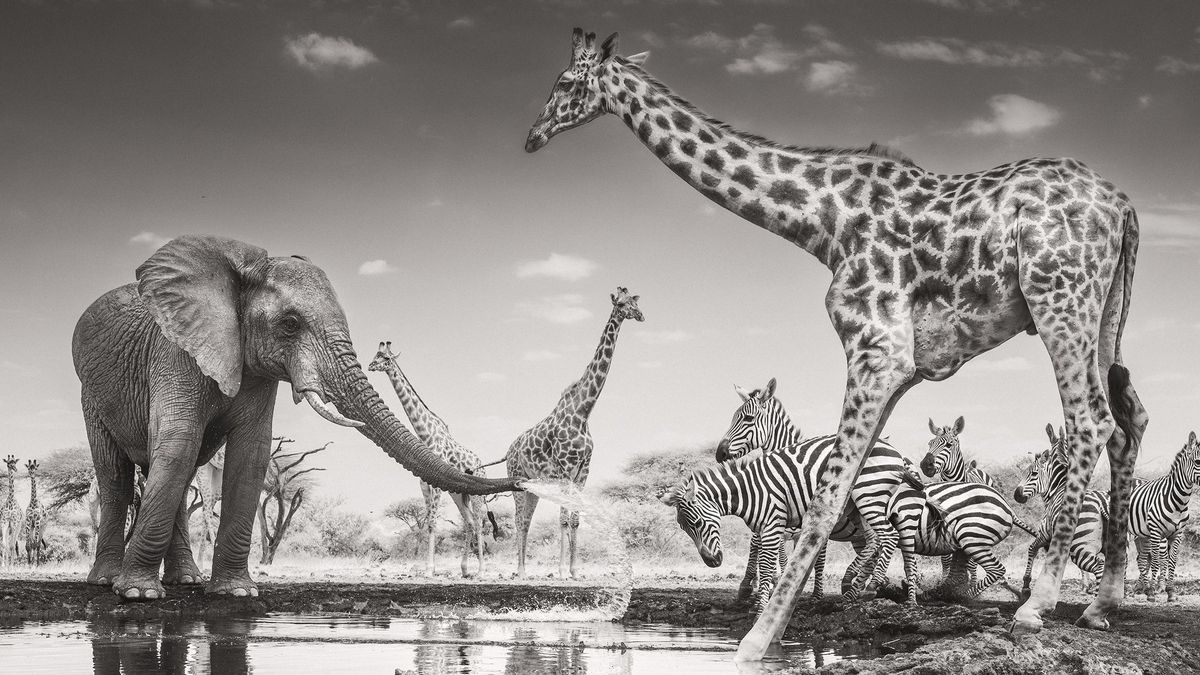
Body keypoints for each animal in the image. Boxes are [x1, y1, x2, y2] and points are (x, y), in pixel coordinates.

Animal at [73, 234, 520, 599]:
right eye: (289, 324)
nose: (521, 479)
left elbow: (251, 456)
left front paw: (236, 593)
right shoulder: (173, 351)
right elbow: (179, 445)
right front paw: (137, 596)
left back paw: (186, 581)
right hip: (90, 393)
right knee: (119, 475)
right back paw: (108, 581)